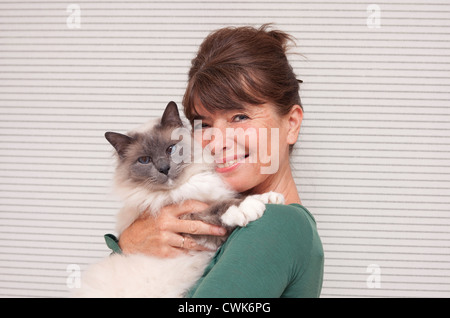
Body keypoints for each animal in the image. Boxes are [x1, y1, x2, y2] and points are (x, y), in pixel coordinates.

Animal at [74, 102, 284, 298]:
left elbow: (240, 196)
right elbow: (219, 208)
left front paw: (272, 197)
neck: (185, 187)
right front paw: (248, 208)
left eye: (171, 149)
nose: (164, 168)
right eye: (145, 160)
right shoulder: (191, 222)